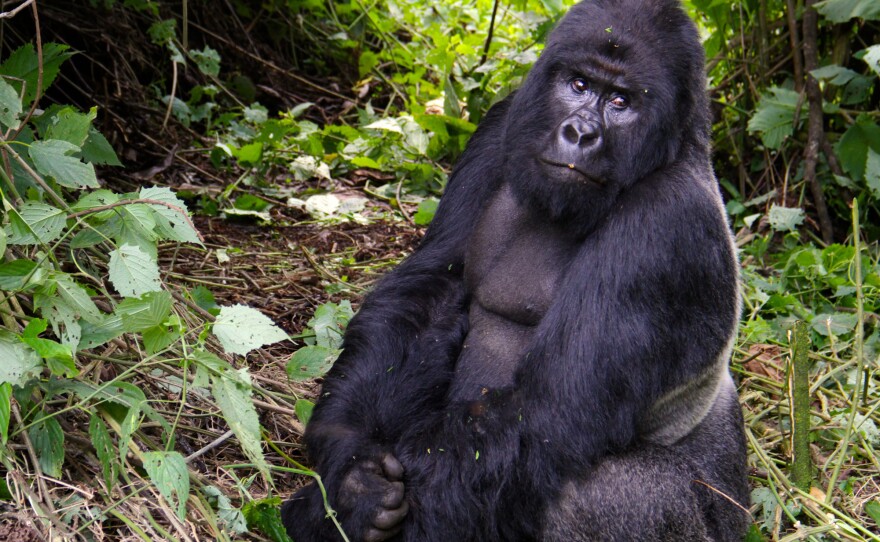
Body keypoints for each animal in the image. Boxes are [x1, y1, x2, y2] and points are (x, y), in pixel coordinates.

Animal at [282, 1, 748, 542]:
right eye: (579, 85)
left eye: (622, 101)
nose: (581, 134)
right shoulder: (500, 125)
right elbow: (429, 293)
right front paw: (348, 469)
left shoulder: (667, 220)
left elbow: (547, 410)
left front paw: (328, 511)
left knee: (592, 496)